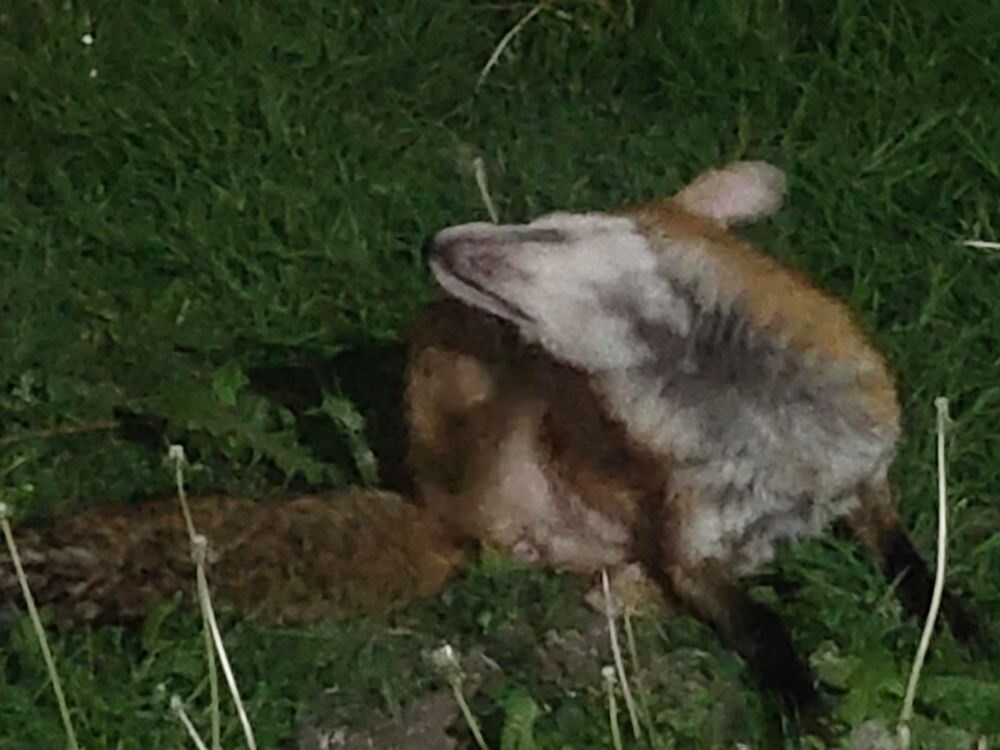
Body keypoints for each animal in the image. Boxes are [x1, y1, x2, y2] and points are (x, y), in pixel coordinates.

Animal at [0, 161, 979, 724]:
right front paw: (805, 707)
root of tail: (428, 506)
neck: (763, 426)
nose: (434, 240)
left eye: (547, 228)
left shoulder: (864, 481)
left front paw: (965, 632)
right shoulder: (694, 552)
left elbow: (918, 571)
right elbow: (767, 627)